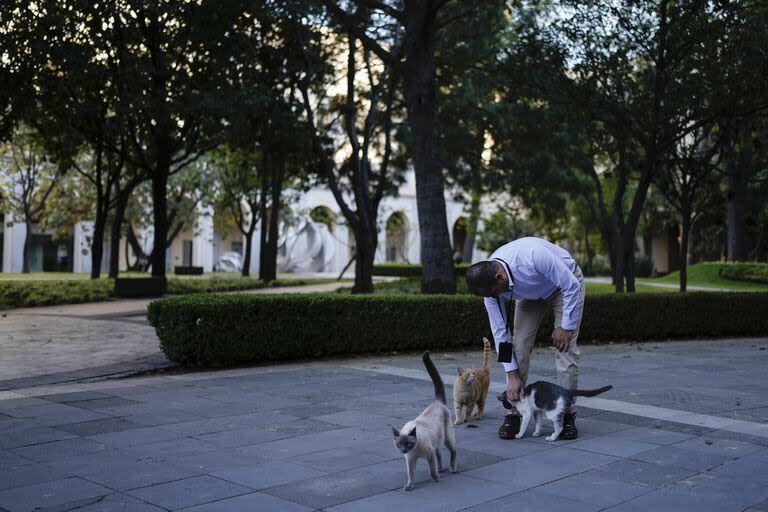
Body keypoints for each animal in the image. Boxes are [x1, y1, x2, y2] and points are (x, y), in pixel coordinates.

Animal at [392, 350, 460, 490]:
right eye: (399, 444)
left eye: (408, 444)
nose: (403, 450)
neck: (415, 451)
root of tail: (437, 401)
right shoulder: (410, 460)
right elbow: (411, 474)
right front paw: (409, 486)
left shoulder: (429, 454)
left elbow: (431, 470)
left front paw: (435, 478)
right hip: (437, 442)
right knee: (439, 454)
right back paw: (440, 469)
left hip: (447, 438)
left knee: (453, 451)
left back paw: (452, 468)